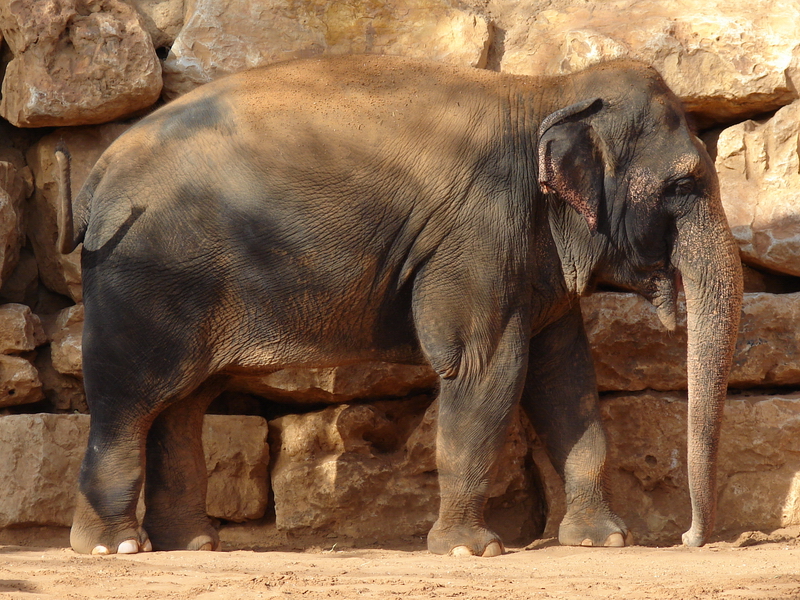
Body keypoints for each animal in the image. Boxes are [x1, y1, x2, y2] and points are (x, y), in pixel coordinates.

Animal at [57, 55, 742, 556]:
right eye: (684, 184)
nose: (689, 539)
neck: (547, 90)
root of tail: (96, 177)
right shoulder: (477, 236)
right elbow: (485, 369)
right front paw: (471, 550)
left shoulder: (533, 255)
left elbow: (566, 378)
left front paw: (602, 541)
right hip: (141, 276)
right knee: (130, 399)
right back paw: (114, 549)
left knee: (183, 404)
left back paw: (193, 545)